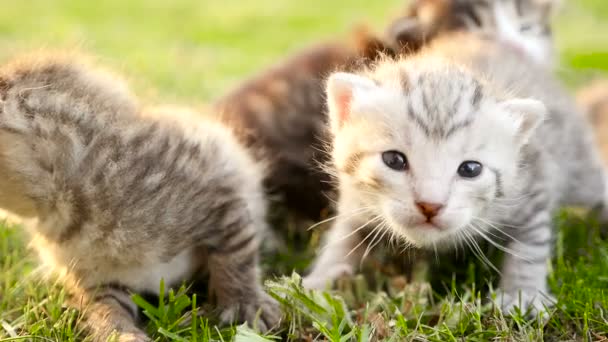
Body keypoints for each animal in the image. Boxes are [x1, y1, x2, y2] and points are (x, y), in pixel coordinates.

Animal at [0, 52, 280, 340]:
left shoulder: (219, 192)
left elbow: (237, 254)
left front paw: (247, 303)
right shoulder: (97, 278)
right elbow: (105, 304)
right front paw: (119, 332)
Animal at [304, 31, 608, 312]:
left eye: (470, 169)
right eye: (394, 160)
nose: (430, 205)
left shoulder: (535, 184)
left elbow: (531, 244)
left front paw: (523, 294)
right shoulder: (356, 201)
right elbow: (343, 238)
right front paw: (317, 283)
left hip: (578, 165)